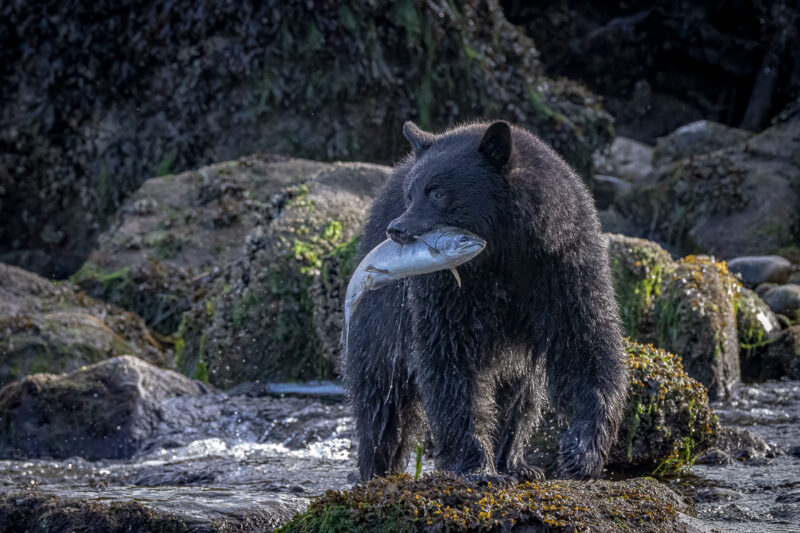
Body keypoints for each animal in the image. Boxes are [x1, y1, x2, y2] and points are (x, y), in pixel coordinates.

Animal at [340, 119, 628, 478]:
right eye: (410, 194)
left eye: (437, 192)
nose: (396, 229)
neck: (502, 252)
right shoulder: (447, 286)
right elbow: (449, 354)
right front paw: (477, 467)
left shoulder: (563, 265)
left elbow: (585, 342)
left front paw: (581, 451)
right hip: (381, 319)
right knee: (381, 399)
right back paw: (377, 468)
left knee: (521, 395)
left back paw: (516, 464)